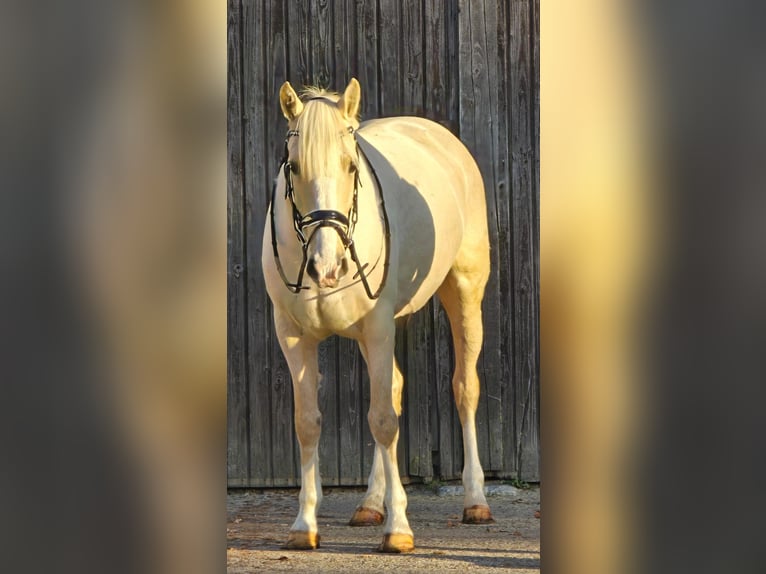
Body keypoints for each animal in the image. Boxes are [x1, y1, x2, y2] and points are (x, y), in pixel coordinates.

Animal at [262, 78, 494, 553]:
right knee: (397, 389)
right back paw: (370, 503)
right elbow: (308, 423)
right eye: (293, 167)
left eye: (351, 166)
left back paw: (475, 501)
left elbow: (384, 421)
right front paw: (304, 524)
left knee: (465, 388)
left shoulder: (378, 327)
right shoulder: (293, 337)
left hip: (463, 292)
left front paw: (399, 529)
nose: (327, 267)